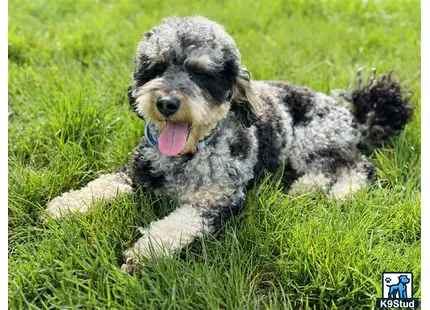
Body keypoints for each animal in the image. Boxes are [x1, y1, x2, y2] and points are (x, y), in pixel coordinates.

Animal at [43, 16, 414, 274]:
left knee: (358, 166)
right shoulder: (137, 171)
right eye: (156, 67)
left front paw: (144, 254)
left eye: (201, 73)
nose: (166, 103)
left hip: (313, 138)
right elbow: (103, 184)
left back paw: (342, 192)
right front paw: (66, 206)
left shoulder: (220, 201)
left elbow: (177, 225)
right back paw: (305, 189)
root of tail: (353, 115)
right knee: (328, 170)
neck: (188, 155)